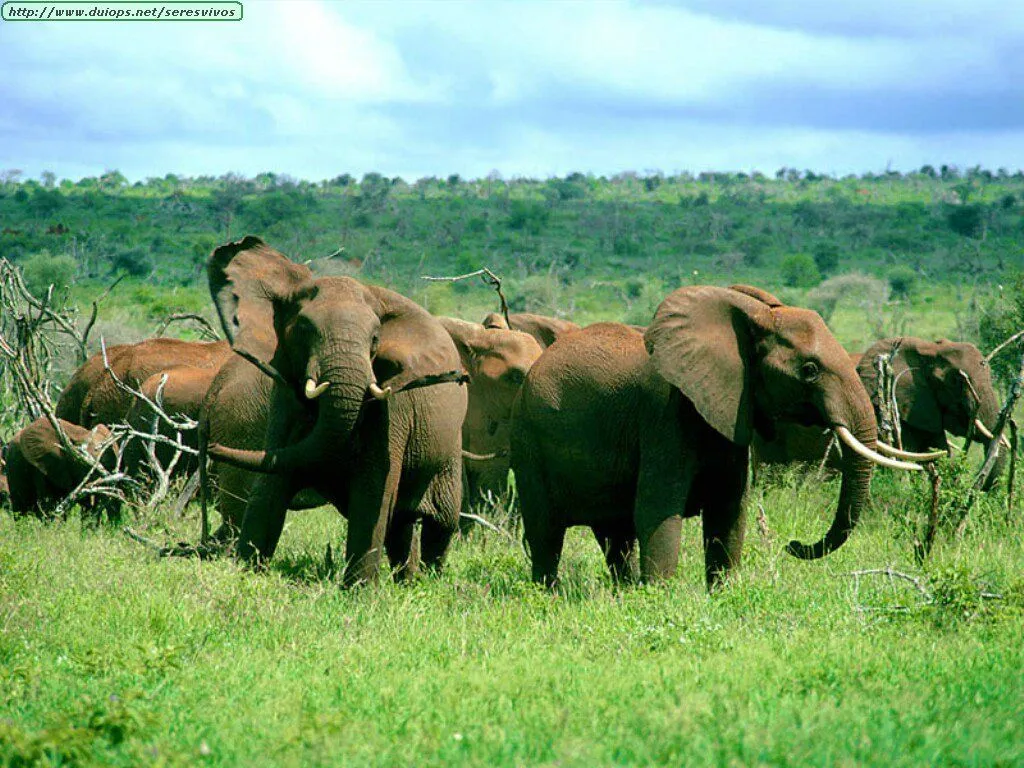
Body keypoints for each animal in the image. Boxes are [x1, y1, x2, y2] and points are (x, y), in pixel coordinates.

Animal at [204, 236, 468, 586]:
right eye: (303, 329)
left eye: (375, 338)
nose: (211, 445)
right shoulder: (284, 400)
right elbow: (271, 479)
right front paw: (247, 575)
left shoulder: (390, 409)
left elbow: (373, 490)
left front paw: (358, 591)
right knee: (401, 524)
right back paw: (408, 583)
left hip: (449, 447)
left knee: (440, 524)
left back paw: (429, 582)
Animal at [510, 285, 926, 589]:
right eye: (809, 370)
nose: (793, 545)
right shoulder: (664, 416)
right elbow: (657, 510)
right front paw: (658, 597)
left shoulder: (731, 412)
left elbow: (729, 509)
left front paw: (721, 593)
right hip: (528, 443)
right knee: (546, 532)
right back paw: (547, 594)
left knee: (615, 535)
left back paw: (621, 591)